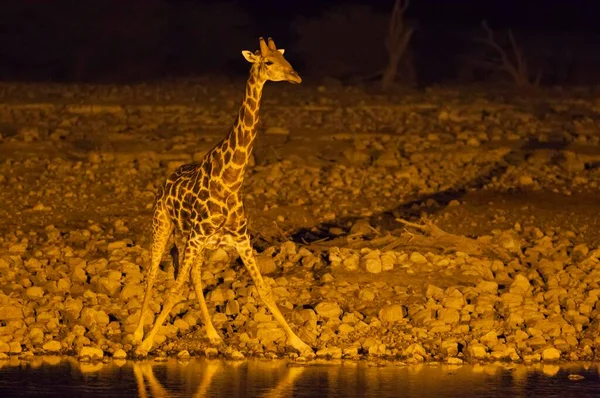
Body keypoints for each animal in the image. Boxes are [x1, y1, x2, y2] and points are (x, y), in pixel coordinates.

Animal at [129, 37, 312, 358]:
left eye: (283, 58)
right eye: (268, 62)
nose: (296, 76)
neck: (231, 181)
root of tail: (165, 183)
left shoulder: (241, 240)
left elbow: (263, 288)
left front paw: (301, 343)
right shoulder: (197, 238)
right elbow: (174, 289)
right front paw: (146, 344)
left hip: (193, 242)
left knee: (194, 277)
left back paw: (214, 336)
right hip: (163, 227)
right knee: (152, 273)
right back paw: (138, 333)